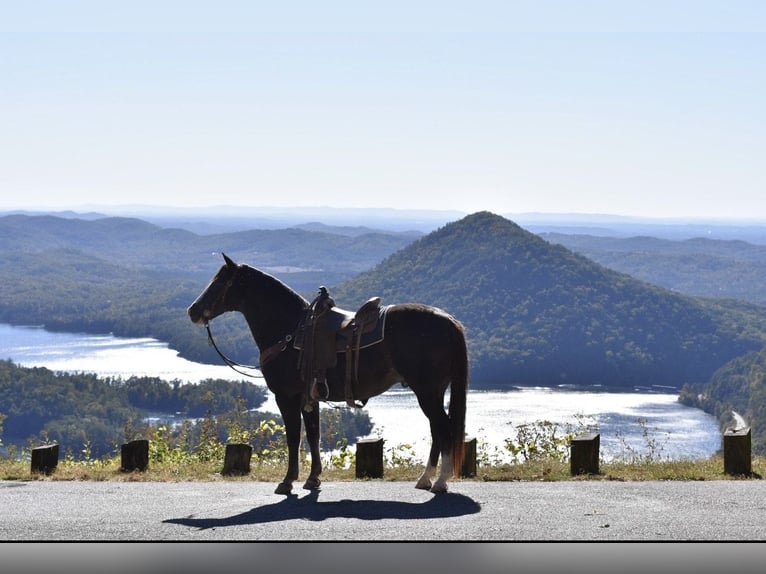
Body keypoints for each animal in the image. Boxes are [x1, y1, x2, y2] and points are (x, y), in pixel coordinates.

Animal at [187, 253, 469, 495]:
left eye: (219, 282)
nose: (193, 311)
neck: (290, 331)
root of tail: (450, 322)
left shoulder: (286, 397)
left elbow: (293, 438)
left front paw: (287, 481)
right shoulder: (309, 398)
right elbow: (314, 436)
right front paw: (313, 479)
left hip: (427, 392)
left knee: (444, 430)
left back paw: (440, 482)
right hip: (431, 392)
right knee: (437, 430)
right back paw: (425, 479)